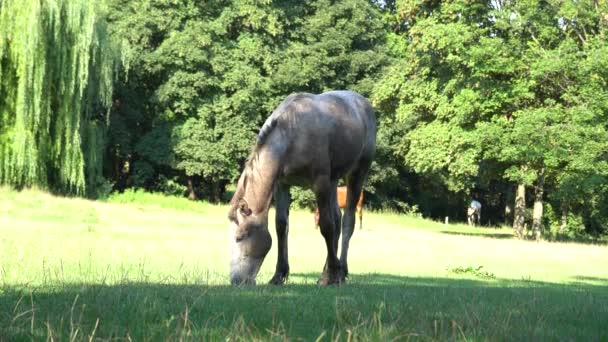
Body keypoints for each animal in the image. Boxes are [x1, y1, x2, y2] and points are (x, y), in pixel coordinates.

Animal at [229, 91, 376, 286]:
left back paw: (340, 271)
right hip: (333, 181)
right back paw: (330, 269)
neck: (291, 133)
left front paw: (330, 276)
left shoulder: (320, 183)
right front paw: (279, 275)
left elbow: (326, 226)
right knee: (337, 219)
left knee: (347, 222)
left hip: (357, 174)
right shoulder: (282, 184)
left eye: (240, 237)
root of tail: (363, 102)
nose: (236, 280)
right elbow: (281, 226)